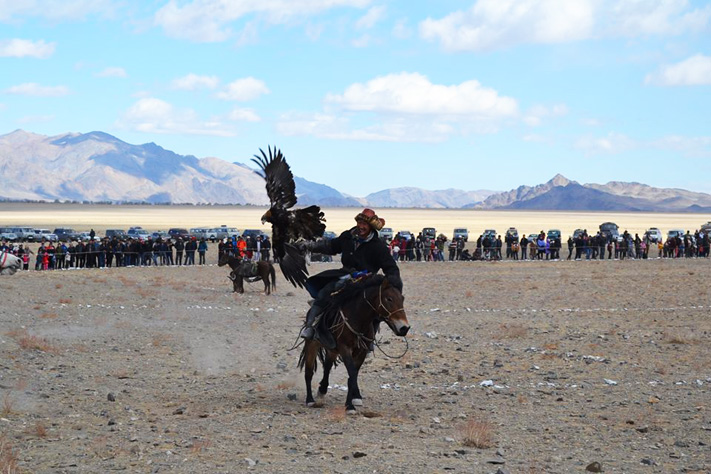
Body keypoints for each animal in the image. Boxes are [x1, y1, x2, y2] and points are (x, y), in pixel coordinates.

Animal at [298, 276, 408, 412]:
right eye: (389, 299)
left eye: (402, 299)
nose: (404, 328)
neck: (357, 319)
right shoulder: (345, 349)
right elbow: (352, 373)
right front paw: (350, 405)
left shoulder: (361, 351)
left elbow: (352, 376)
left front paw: (352, 401)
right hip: (312, 345)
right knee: (308, 372)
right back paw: (310, 400)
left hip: (332, 350)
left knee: (327, 367)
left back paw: (322, 390)